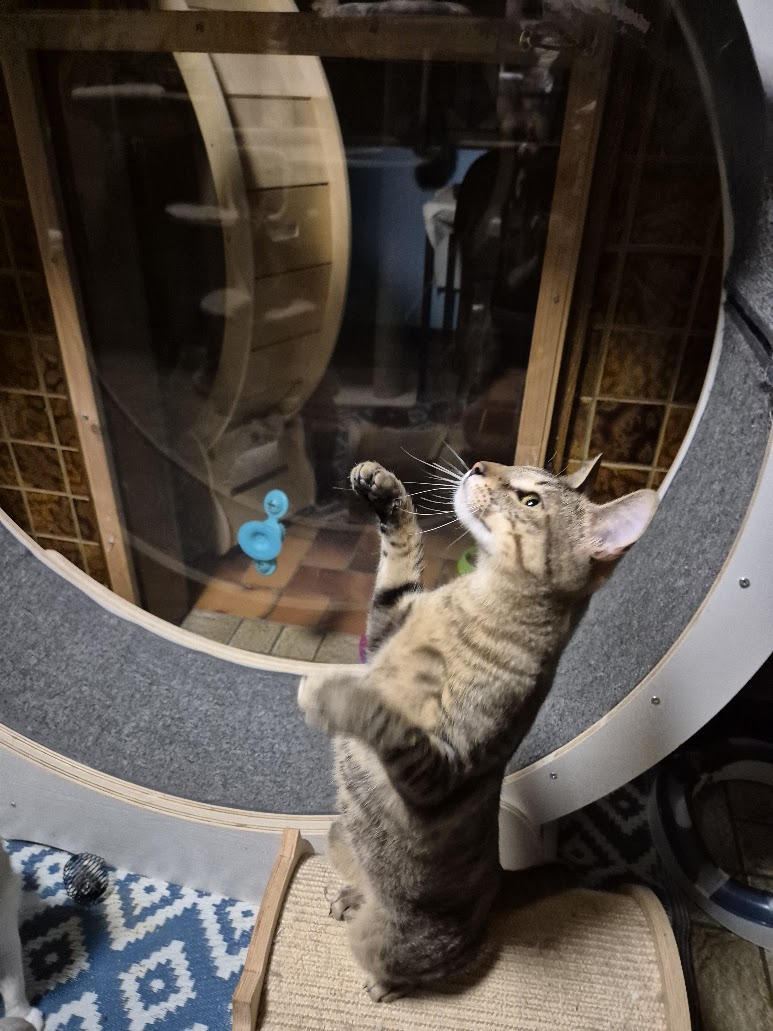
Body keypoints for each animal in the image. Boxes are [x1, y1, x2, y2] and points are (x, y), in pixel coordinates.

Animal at [298, 454, 658, 1001]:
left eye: (530, 500)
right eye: (517, 467)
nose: (480, 465)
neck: (471, 599)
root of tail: (500, 879)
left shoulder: (439, 768)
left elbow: (382, 716)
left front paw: (334, 693)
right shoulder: (388, 623)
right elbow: (400, 562)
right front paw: (383, 487)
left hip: (386, 940)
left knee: (448, 959)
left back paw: (387, 982)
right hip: (340, 832)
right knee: (361, 876)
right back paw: (351, 894)